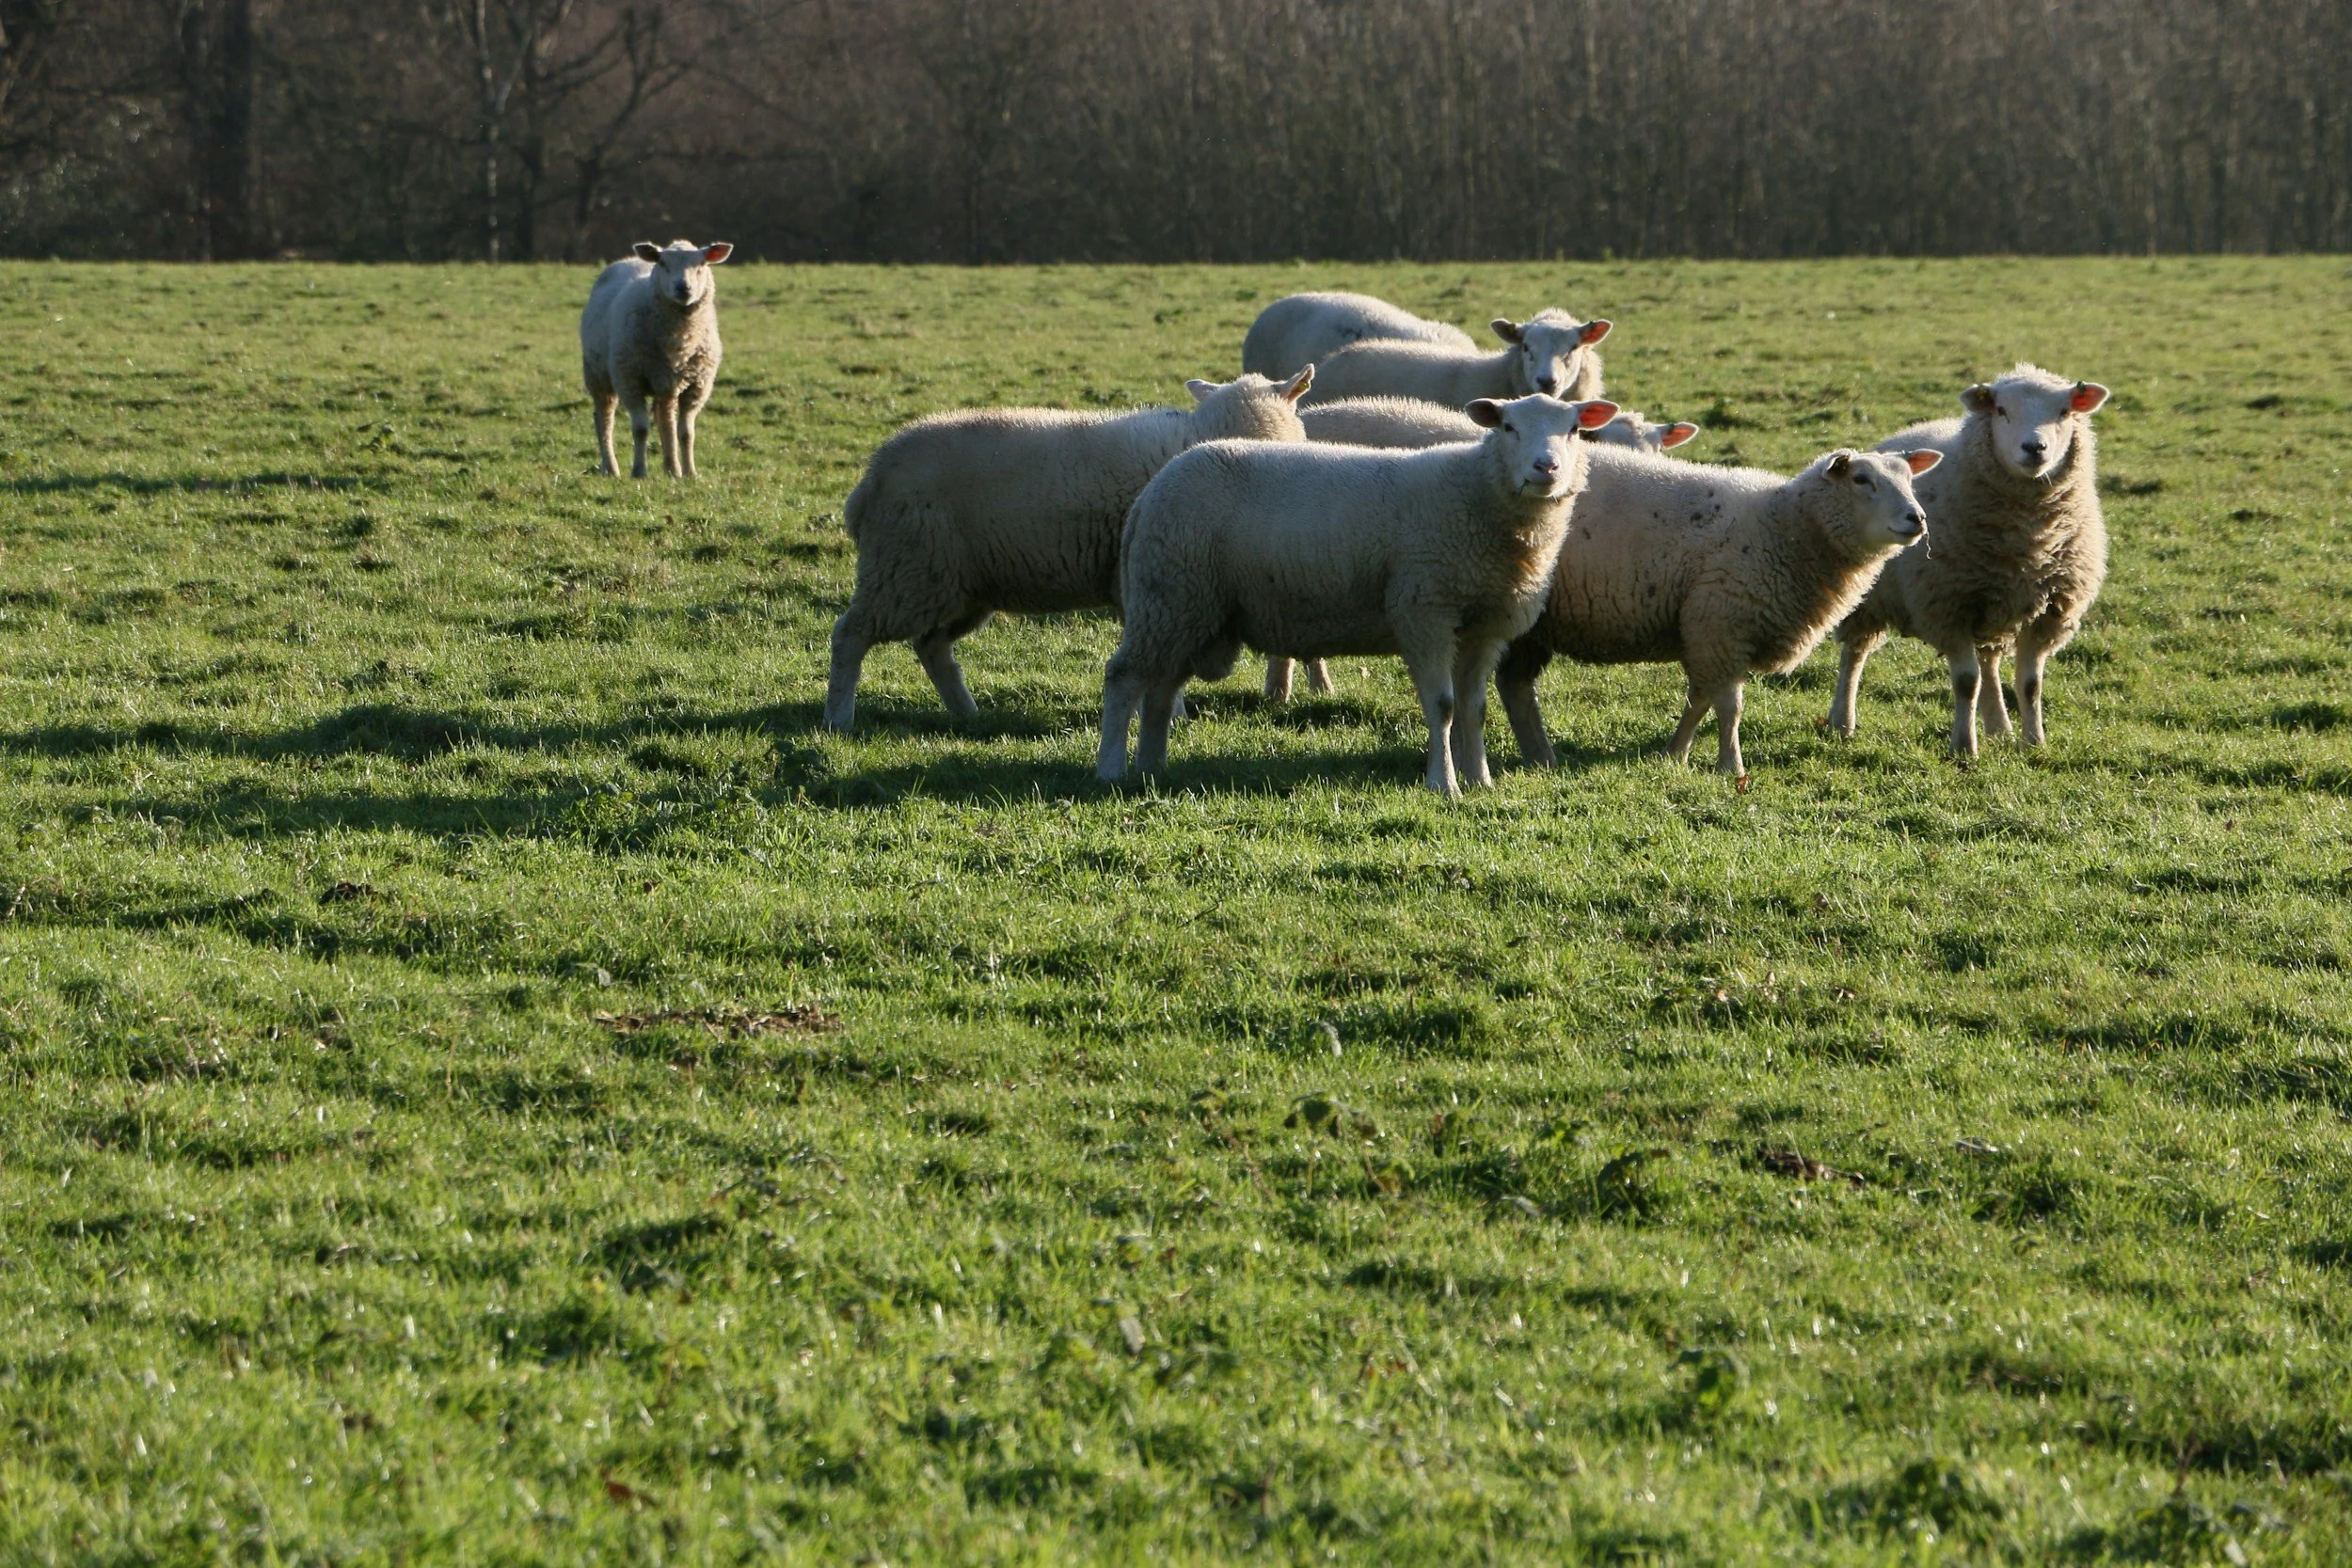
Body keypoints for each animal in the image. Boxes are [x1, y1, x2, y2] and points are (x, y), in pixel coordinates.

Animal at [580, 239, 732, 479]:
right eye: (663, 263)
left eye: (701, 264)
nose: (683, 288)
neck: (680, 340)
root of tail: (629, 260)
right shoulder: (630, 380)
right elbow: (641, 429)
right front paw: (639, 472)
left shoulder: (697, 385)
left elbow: (686, 432)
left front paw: (689, 473)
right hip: (598, 375)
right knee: (604, 420)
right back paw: (611, 468)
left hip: (664, 381)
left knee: (664, 418)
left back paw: (672, 468)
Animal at [821, 369, 1314, 732]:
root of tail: (870, 479)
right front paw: (1170, 716)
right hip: (905, 570)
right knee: (850, 635)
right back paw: (839, 718)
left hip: (957, 584)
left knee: (931, 646)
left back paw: (967, 713)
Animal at [1098, 394, 1620, 798]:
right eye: (1509, 427)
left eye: (1574, 430)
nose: (1545, 467)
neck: (1478, 495)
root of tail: (1152, 491)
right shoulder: (1423, 610)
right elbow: (1444, 706)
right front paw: (1444, 784)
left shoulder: (1482, 628)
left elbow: (1475, 710)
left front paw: (1480, 780)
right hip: (1169, 596)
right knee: (1124, 678)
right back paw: (1112, 769)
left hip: (1188, 608)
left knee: (1161, 689)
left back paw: (1152, 767)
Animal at [1494, 444, 1940, 780]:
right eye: (1861, 480)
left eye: (1909, 478)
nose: (1917, 518)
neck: (1784, 527)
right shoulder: (1721, 624)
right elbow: (1728, 706)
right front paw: (1731, 766)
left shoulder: (1709, 632)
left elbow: (1700, 700)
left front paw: (1674, 754)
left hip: (1533, 626)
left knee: (1515, 686)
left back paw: (1541, 759)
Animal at [1828, 365, 2111, 755]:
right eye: (2001, 410)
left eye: (2065, 412)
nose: (2034, 448)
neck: (2030, 541)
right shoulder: (1950, 607)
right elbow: (1965, 682)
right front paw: (1964, 747)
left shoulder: (2048, 611)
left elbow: (2030, 685)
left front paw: (2034, 742)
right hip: (1870, 599)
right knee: (1854, 654)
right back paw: (1842, 722)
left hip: (1993, 606)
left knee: (1989, 662)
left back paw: (1999, 728)